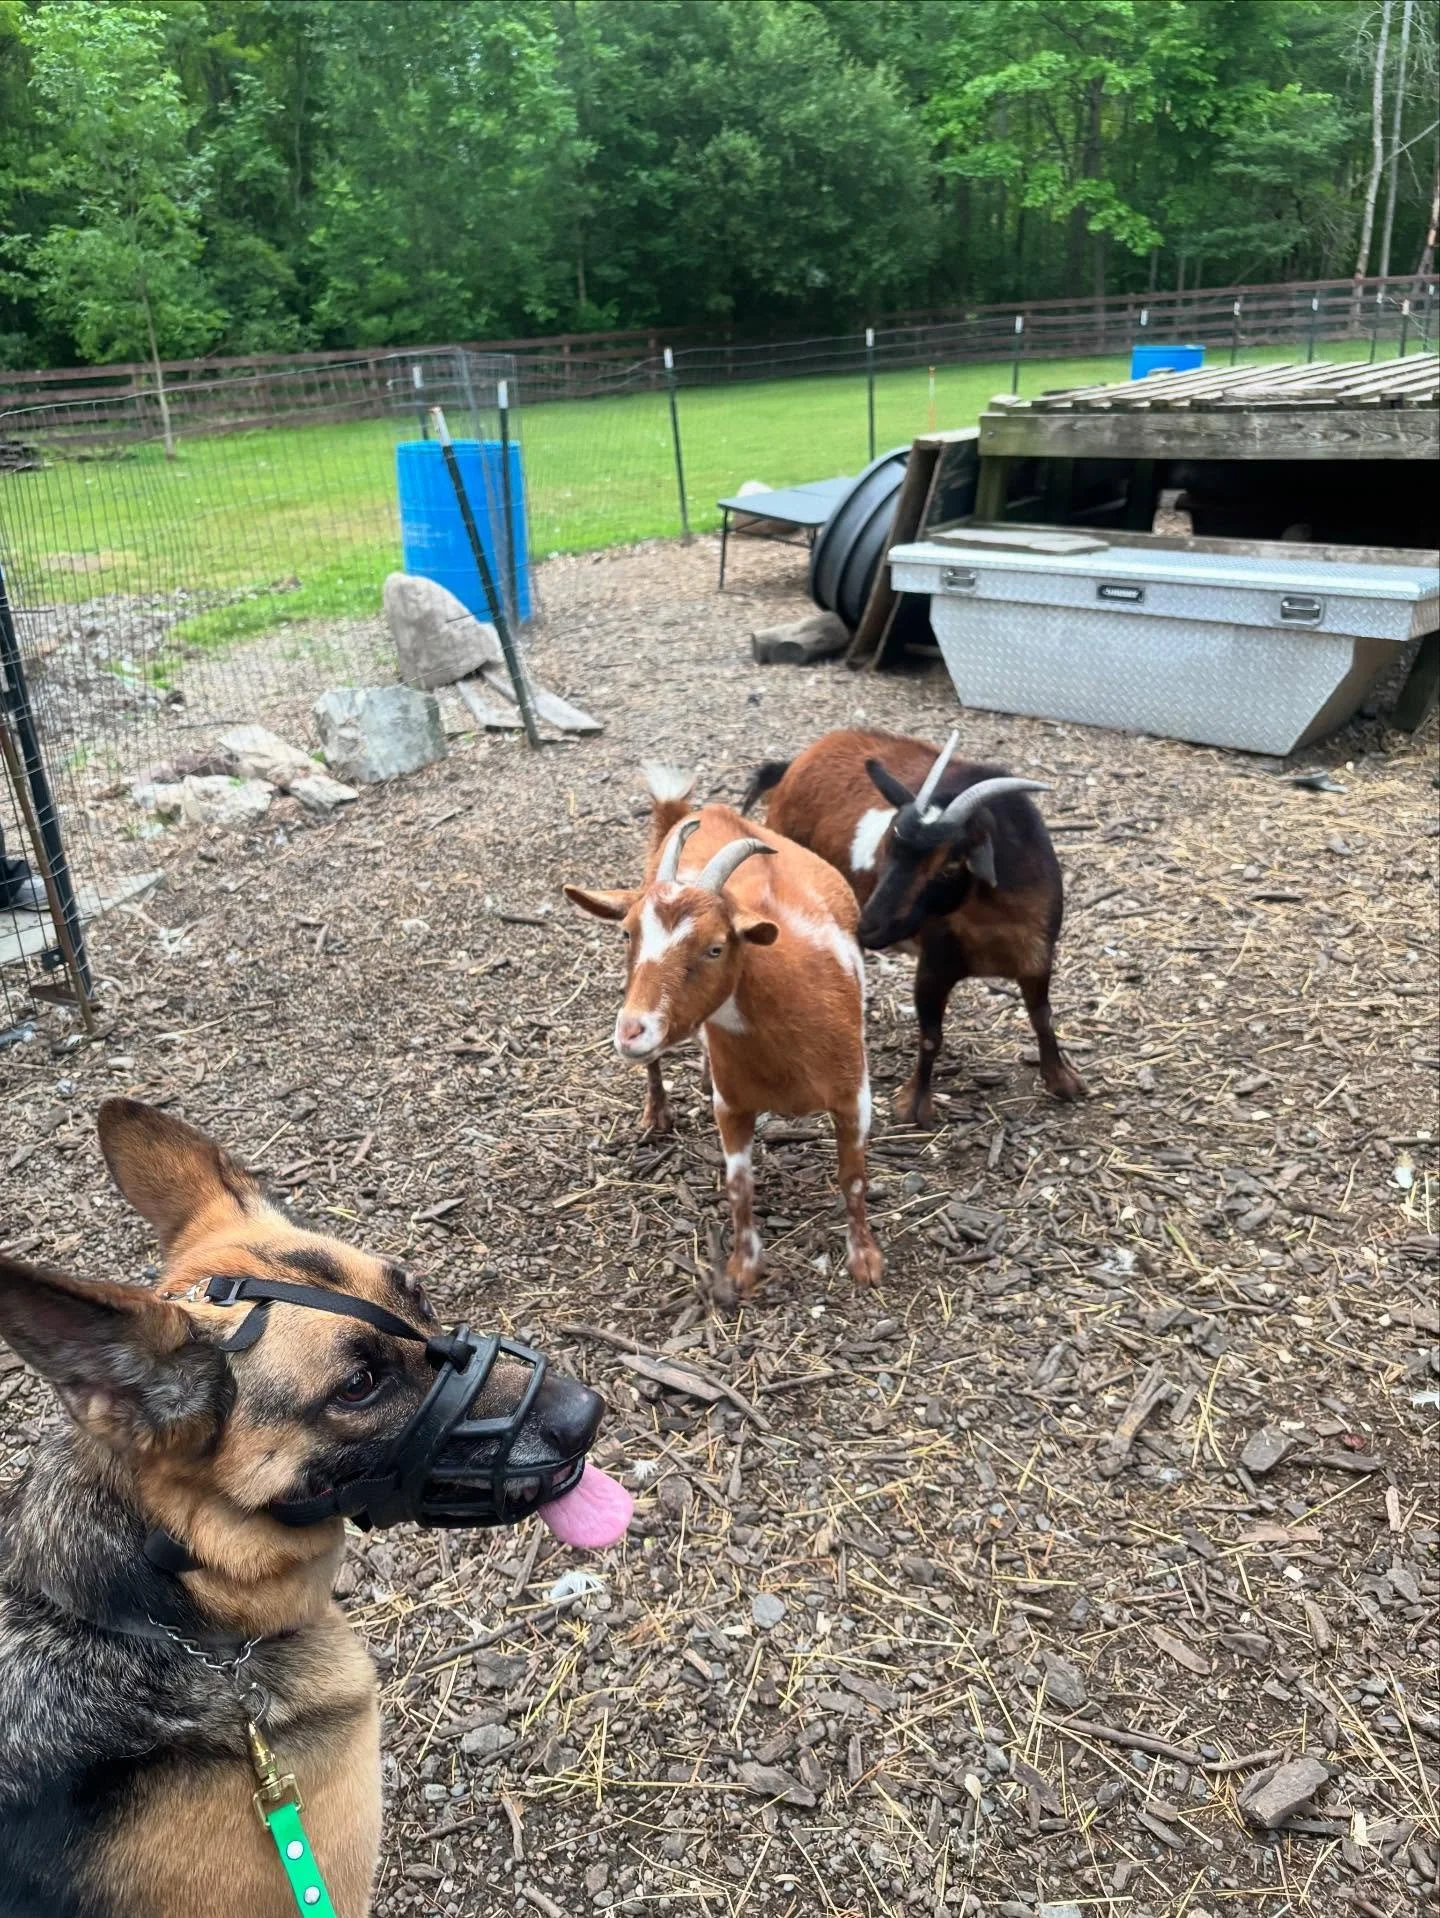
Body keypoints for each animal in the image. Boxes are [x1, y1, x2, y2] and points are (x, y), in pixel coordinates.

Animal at [565, 767, 881, 1297]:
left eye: (715, 948)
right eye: (628, 933)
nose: (631, 1031)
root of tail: (701, 811)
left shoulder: (853, 1095)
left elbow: (852, 1178)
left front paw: (866, 1262)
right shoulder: (732, 1106)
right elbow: (739, 1186)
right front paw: (742, 1269)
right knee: (656, 1066)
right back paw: (657, 1113)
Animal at [743, 729, 1085, 1125]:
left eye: (951, 865)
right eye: (888, 846)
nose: (869, 926)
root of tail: (794, 765)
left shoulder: (1037, 956)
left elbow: (1042, 1016)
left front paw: (1062, 1081)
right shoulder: (934, 967)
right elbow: (930, 1036)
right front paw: (913, 1106)